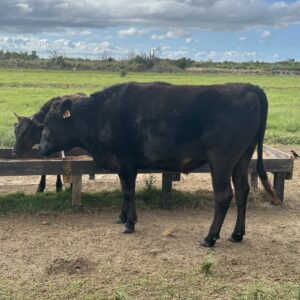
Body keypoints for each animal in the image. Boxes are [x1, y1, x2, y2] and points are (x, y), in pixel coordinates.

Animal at [39, 82, 276, 246]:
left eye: (48, 122)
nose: (39, 148)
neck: (100, 114)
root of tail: (248, 87)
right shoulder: (124, 165)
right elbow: (125, 190)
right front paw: (122, 217)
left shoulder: (125, 161)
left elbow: (129, 191)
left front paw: (130, 223)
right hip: (242, 158)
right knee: (242, 191)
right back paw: (237, 234)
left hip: (222, 160)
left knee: (224, 195)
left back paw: (210, 238)